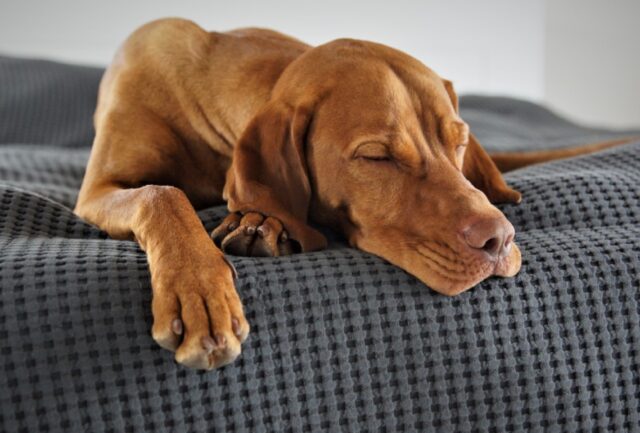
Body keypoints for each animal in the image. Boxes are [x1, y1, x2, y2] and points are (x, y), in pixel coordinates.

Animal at [74, 18, 632, 370]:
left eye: (458, 140)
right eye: (377, 157)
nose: (499, 241)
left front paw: (260, 222)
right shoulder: (97, 190)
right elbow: (162, 193)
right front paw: (199, 293)